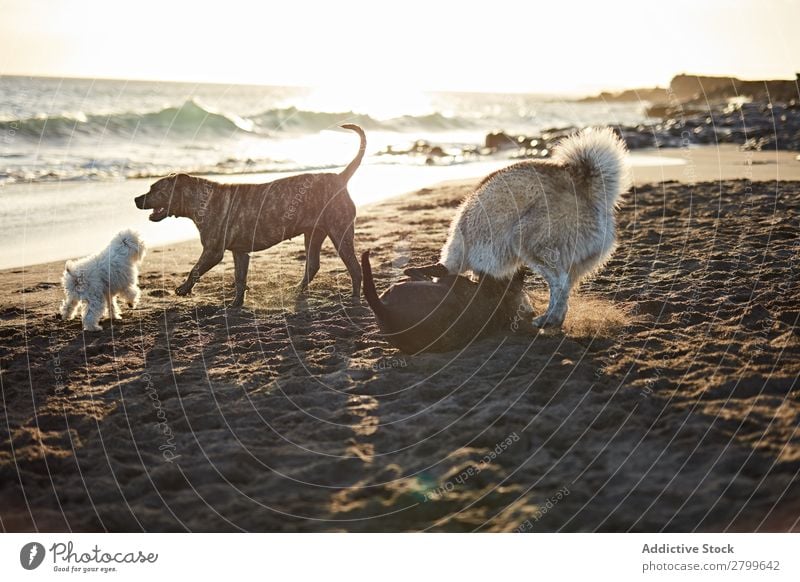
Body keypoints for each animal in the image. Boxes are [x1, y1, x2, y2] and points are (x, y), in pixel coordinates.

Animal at [134, 125, 366, 308]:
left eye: (154, 189)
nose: (136, 198)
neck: (200, 199)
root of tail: (340, 178)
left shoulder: (213, 251)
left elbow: (195, 270)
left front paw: (184, 288)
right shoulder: (240, 252)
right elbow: (239, 279)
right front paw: (236, 303)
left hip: (340, 233)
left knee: (355, 268)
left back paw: (354, 297)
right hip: (314, 233)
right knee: (313, 265)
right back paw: (297, 289)